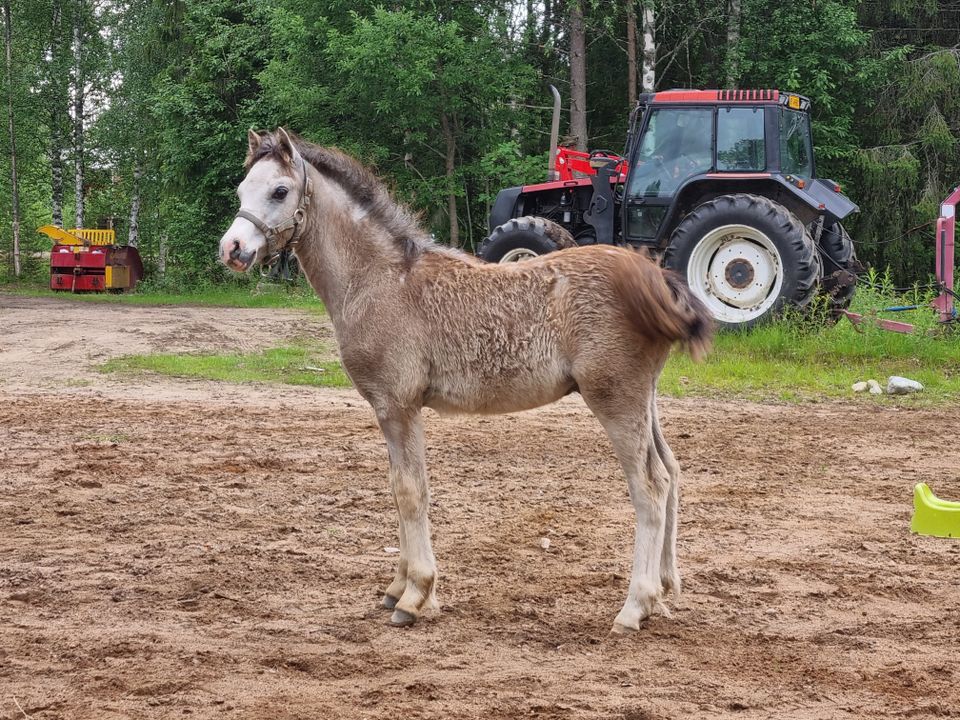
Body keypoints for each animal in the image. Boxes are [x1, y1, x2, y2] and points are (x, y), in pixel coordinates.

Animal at [219, 131, 712, 636]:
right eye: (241, 190)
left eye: (279, 191)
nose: (232, 248)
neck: (378, 280)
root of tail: (655, 279)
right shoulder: (394, 407)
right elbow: (401, 487)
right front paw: (398, 587)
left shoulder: (397, 404)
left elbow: (410, 491)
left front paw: (415, 595)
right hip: (645, 399)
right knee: (671, 471)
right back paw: (664, 592)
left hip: (615, 397)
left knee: (649, 486)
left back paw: (635, 605)